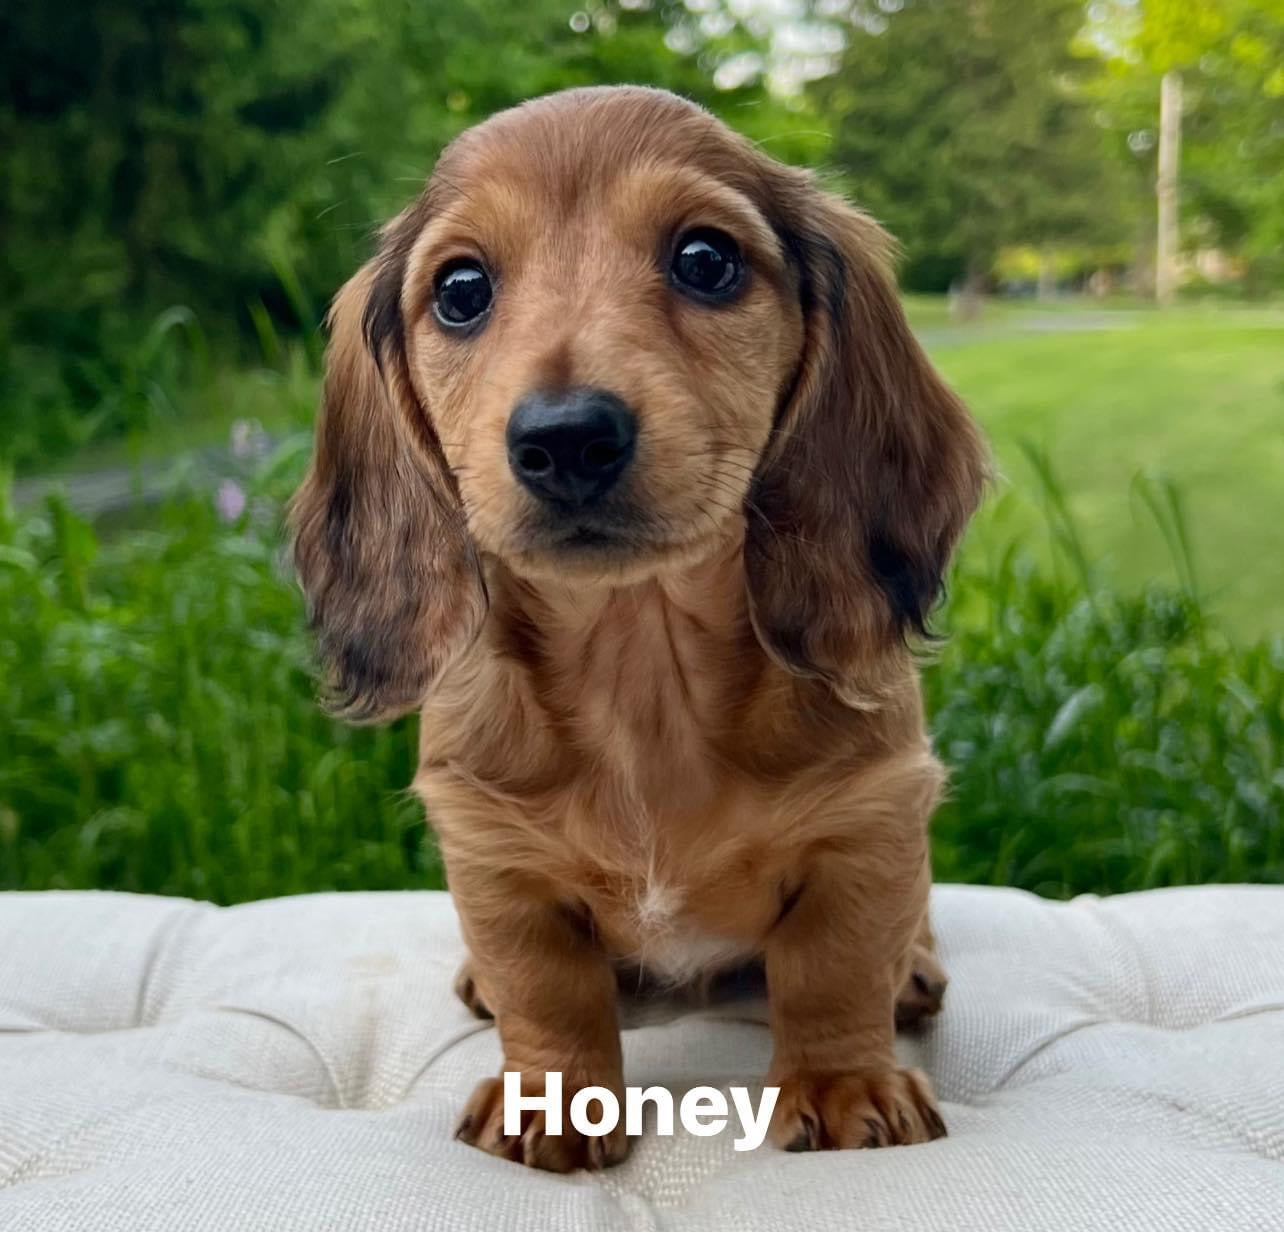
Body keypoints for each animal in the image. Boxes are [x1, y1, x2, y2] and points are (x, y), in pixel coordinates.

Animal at [291, 84, 986, 1166]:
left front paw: (841, 1081)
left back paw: (912, 970)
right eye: (459, 288)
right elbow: (545, 989)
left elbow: (835, 963)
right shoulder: (494, 859)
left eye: (706, 259)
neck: (642, 672)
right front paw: (554, 1097)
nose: (568, 438)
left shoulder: (870, 821)